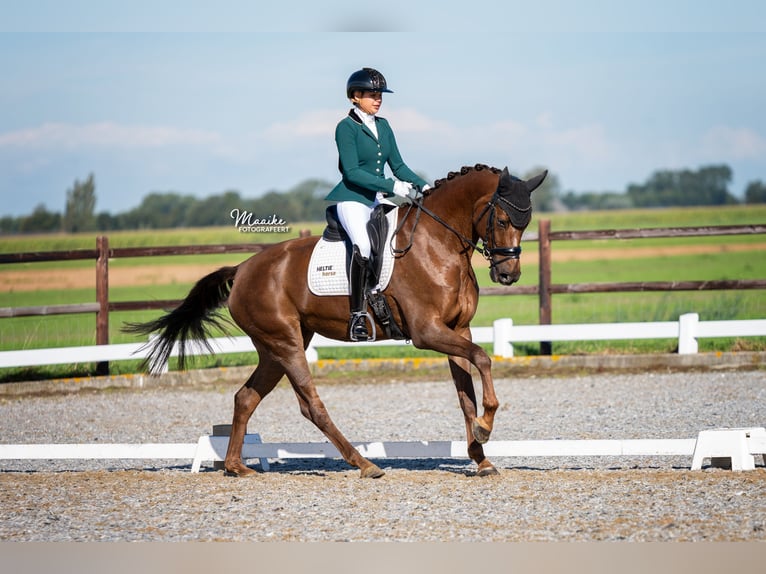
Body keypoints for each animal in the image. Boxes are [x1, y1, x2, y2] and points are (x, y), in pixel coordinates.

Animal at [127, 164, 544, 480]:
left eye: (525, 223)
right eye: (502, 218)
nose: (508, 275)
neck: (437, 244)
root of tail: (243, 268)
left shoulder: (457, 329)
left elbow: (465, 392)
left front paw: (481, 454)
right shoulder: (427, 333)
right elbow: (484, 360)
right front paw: (486, 426)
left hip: (276, 347)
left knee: (246, 397)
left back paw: (236, 467)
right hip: (286, 343)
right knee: (311, 405)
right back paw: (364, 464)